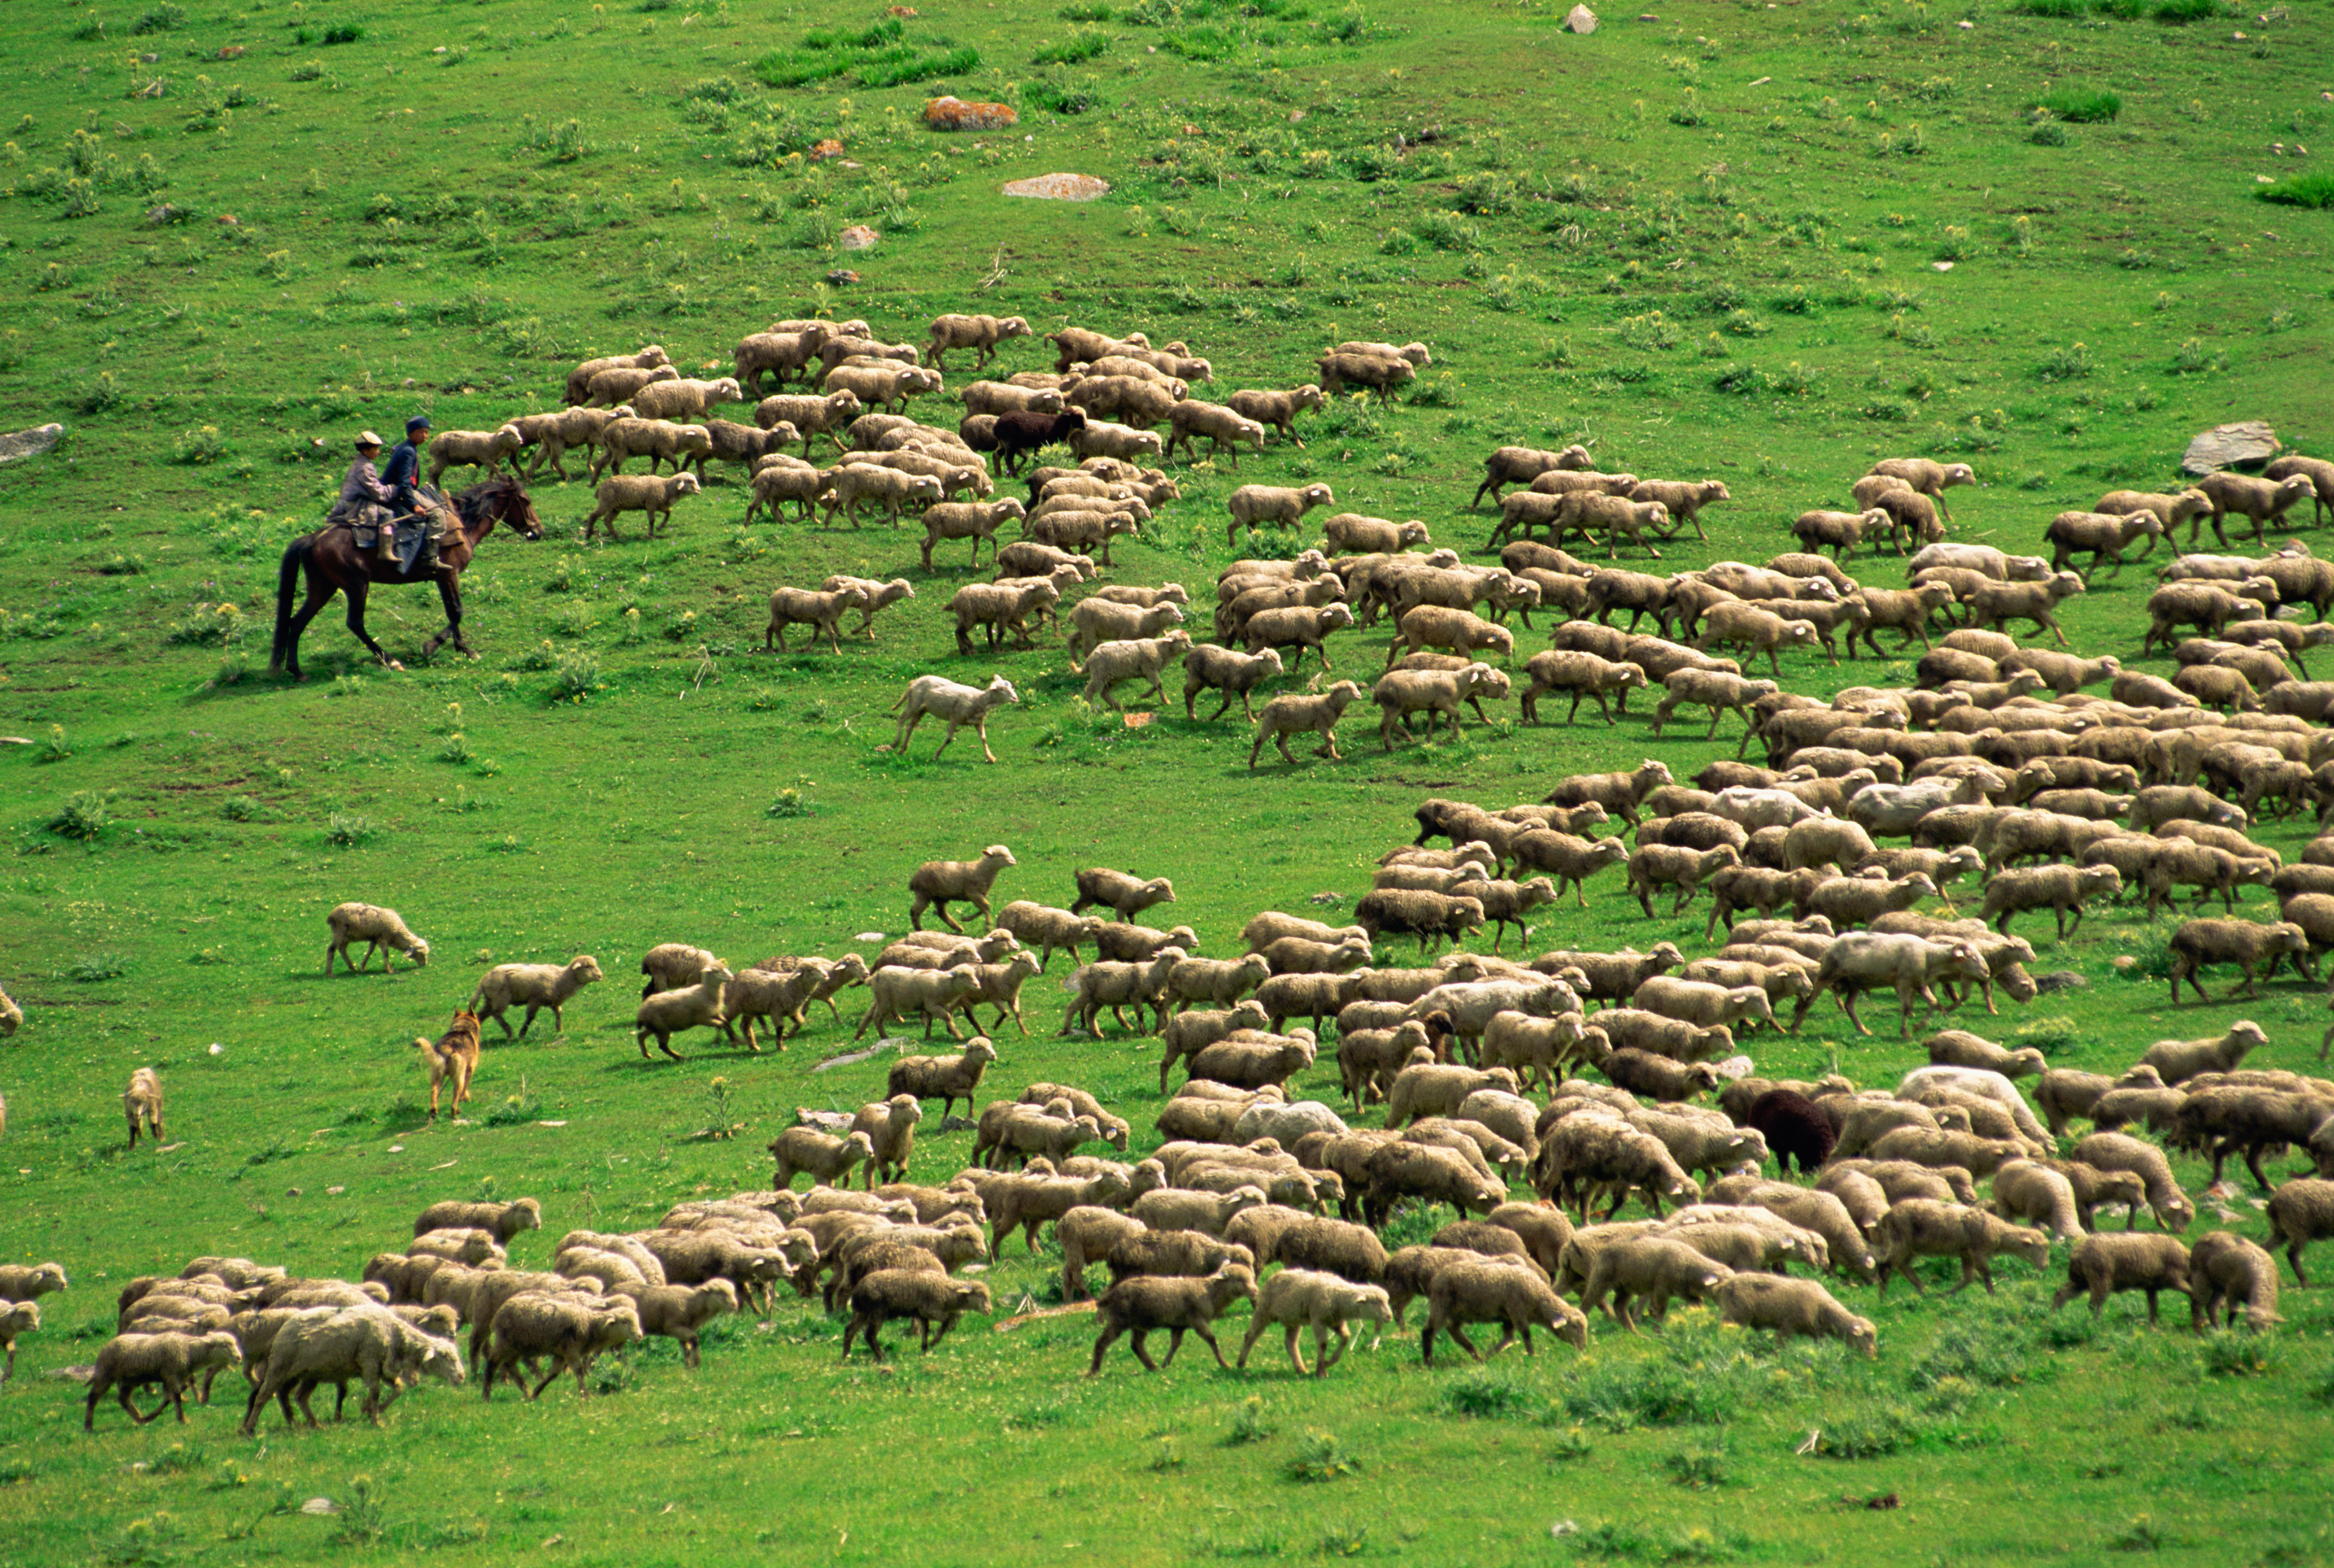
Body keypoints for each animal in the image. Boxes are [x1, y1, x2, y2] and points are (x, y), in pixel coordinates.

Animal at [271, 474, 544, 676]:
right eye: (526, 500)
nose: (539, 531)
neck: (462, 522)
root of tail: (313, 539)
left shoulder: (441, 578)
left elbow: (451, 612)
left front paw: (460, 647)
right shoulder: (450, 575)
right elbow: (457, 612)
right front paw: (436, 646)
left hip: (323, 587)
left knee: (297, 622)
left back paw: (297, 671)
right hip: (356, 585)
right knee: (355, 623)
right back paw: (390, 660)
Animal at [319, 900, 429, 975]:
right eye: (420, 954)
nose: (425, 964)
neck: (397, 933)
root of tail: (331, 916)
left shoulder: (375, 938)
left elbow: (370, 951)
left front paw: (363, 966)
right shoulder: (382, 938)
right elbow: (386, 953)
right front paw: (389, 970)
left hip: (347, 936)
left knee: (342, 949)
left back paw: (352, 967)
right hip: (340, 933)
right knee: (331, 949)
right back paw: (330, 973)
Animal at [1087, 1260, 1260, 1372]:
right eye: (1239, 1279)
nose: (1256, 1291)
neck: (1210, 1292)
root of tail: (1112, 1294)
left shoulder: (1179, 1325)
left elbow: (1175, 1344)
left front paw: (1166, 1364)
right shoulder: (1197, 1319)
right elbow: (1211, 1339)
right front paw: (1225, 1364)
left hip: (1140, 1324)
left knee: (1137, 1346)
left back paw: (1153, 1368)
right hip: (1119, 1319)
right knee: (1102, 1342)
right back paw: (1094, 1371)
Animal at [1718, 1269, 1876, 1363]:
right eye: (1866, 1337)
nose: (1873, 1356)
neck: (1824, 1308)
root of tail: (1726, 1284)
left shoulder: (1817, 1333)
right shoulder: (1789, 1325)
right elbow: (1780, 1346)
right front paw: (1777, 1360)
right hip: (1736, 1316)